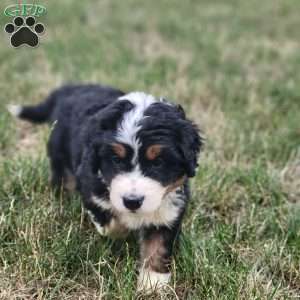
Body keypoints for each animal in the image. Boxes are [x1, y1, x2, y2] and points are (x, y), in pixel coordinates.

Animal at [8, 84, 203, 292]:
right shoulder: (90, 187)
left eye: (158, 162)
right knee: (63, 181)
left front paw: (153, 284)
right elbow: (110, 222)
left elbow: (158, 246)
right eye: (116, 159)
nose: (132, 202)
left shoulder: (169, 209)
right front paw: (123, 228)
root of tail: (68, 89)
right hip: (59, 155)